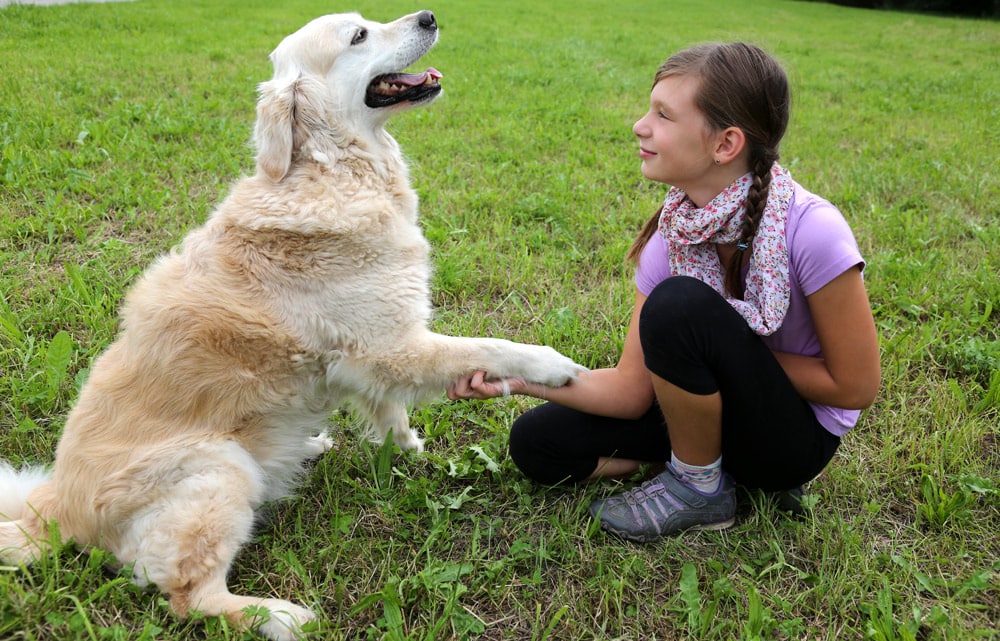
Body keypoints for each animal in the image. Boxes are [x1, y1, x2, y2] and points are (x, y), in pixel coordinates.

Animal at [0, 10, 584, 640]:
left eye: (369, 20)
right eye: (359, 36)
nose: (429, 17)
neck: (333, 170)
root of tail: (55, 509)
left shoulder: (368, 355)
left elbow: (391, 410)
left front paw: (409, 447)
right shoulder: (394, 345)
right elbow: (492, 346)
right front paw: (555, 367)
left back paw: (311, 447)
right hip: (218, 470)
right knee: (188, 595)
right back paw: (279, 615)